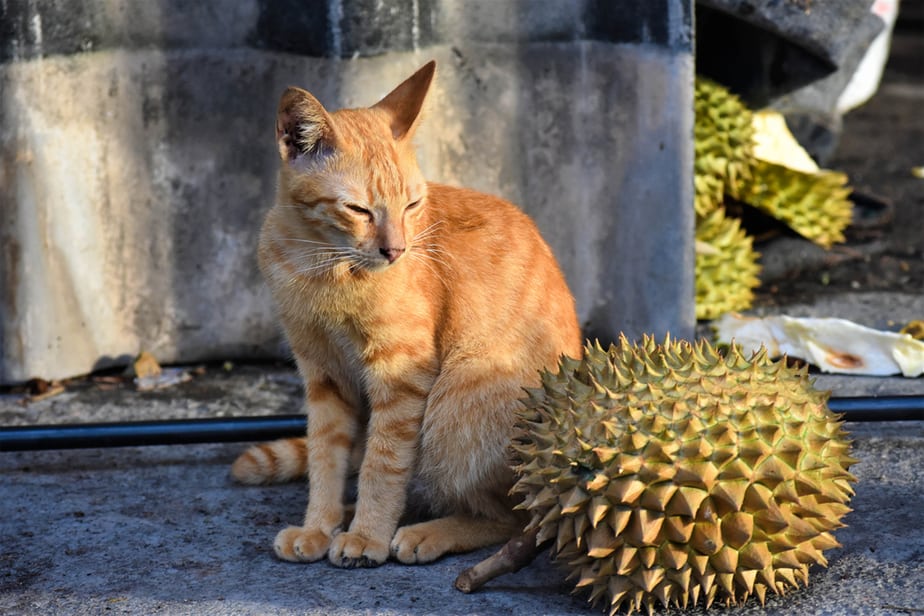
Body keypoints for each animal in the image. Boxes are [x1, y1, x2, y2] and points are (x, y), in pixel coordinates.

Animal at [230, 61, 580, 568]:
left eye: (413, 204)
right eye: (358, 209)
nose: (395, 251)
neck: (319, 264)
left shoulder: (401, 376)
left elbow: (383, 462)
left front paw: (367, 535)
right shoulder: (322, 375)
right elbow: (325, 457)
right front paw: (319, 525)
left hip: (458, 401)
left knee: (516, 519)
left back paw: (423, 532)